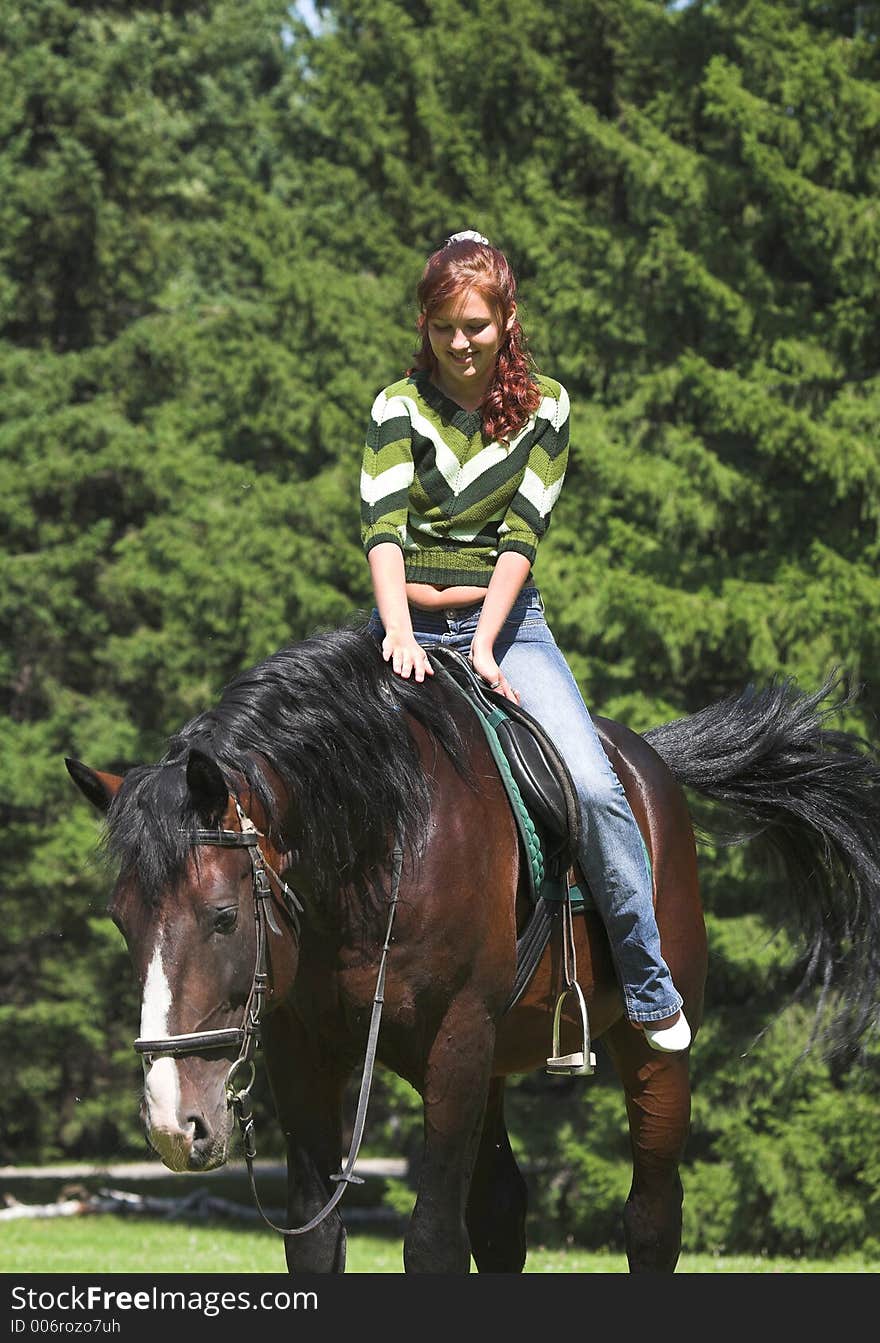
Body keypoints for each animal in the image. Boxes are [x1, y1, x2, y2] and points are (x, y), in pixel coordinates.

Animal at [67, 623, 880, 1273]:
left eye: (223, 917)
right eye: (121, 922)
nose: (175, 1122)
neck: (382, 844)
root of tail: (650, 765)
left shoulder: (455, 1041)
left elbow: (432, 1243)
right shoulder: (308, 1058)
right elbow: (319, 1242)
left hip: (648, 1056)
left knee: (652, 1214)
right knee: (502, 1215)